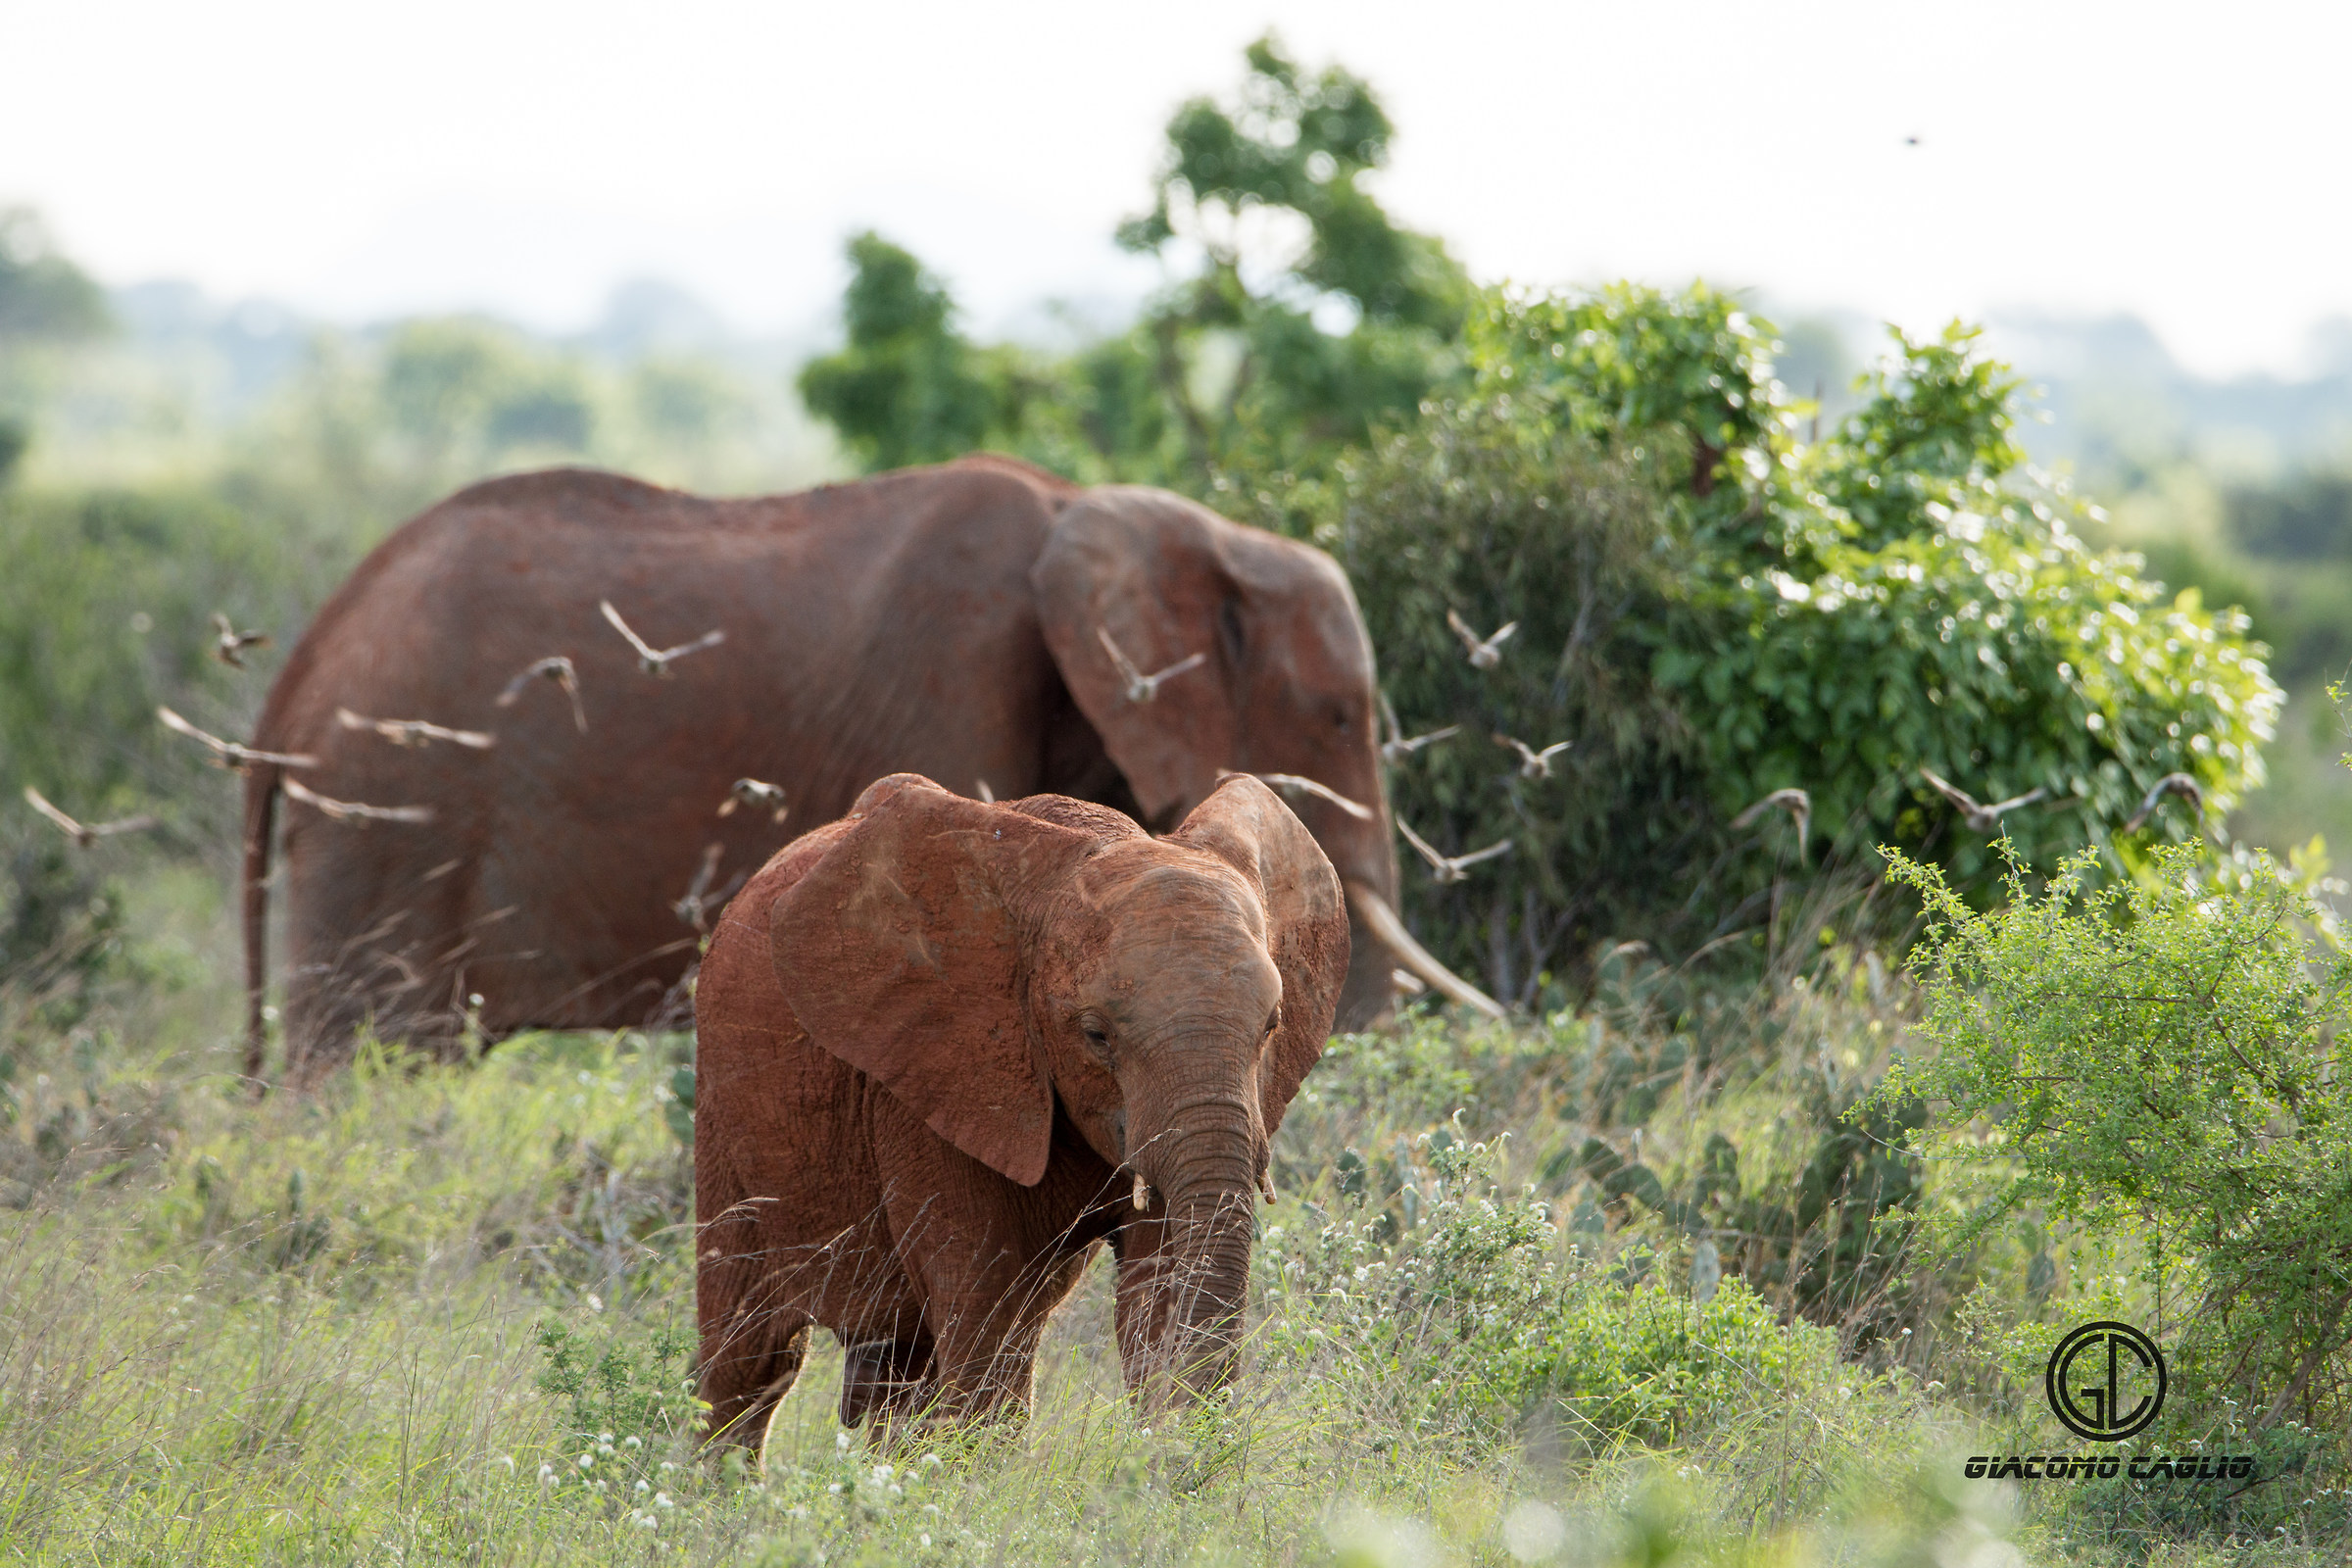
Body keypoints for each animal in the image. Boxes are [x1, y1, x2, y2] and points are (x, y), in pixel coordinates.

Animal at [692, 771, 1347, 1449]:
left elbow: (1159, 1288)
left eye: (1272, 1027)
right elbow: (986, 1305)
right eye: (1096, 1035)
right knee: (749, 1360)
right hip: (723, 1109)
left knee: (890, 1364)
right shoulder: (936, 1076)